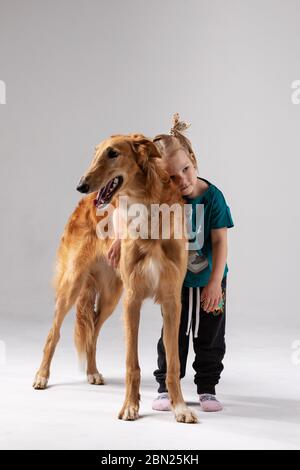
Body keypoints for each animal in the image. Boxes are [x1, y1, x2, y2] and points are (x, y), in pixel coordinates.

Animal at [33, 134, 197, 424]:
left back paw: (92, 372)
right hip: (73, 284)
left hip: (110, 296)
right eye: (95, 153)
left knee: (92, 330)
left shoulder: (171, 301)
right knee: (54, 333)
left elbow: (174, 363)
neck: (146, 206)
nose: (81, 185)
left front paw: (179, 408)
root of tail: (83, 204)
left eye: (112, 153)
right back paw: (42, 376)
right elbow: (132, 363)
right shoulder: (132, 300)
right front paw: (130, 407)